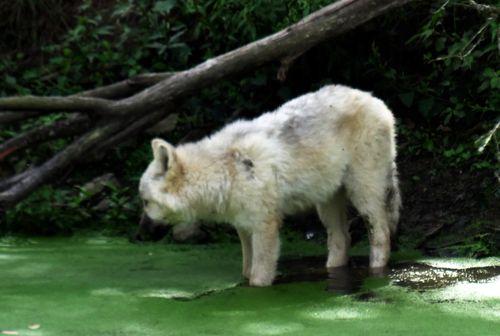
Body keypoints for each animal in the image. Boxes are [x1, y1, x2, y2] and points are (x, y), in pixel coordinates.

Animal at [139, 84, 400, 286]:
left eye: (146, 202)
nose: (137, 236)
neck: (225, 170)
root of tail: (377, 101)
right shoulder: (243, 226)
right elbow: (246, 270)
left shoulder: (265, 226)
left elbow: (258, 277)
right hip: (327, 205)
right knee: (342, 240)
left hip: (363, 196)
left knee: (381, 235)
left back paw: (376, 271)